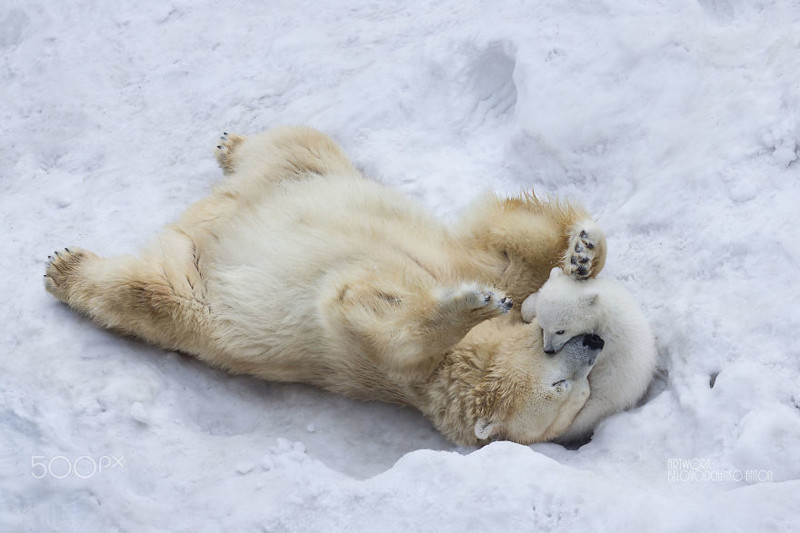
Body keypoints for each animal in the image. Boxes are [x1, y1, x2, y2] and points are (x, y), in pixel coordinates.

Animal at [43, 124, 608, 444]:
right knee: (298, 141)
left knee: (146, 295)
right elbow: (510, 253)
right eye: (561, 384)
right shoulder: (456, 263)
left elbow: (360, 312)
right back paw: (230, 145)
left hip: (196, 289)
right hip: (308, 173)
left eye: (581, 391)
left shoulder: (387, 367)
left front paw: (472, 303)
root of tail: (206, 218)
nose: (596, 342)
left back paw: (67, 268)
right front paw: (581, 252)